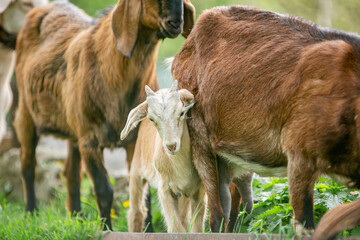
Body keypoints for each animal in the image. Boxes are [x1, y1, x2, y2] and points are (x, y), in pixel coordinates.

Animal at [14, 0, 194, 229]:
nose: (175, 22)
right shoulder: (90, 140)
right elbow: (103, 190)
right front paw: (105, 228)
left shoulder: (133, 140)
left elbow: (143, 191)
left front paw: (147, 229)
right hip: (26, 112)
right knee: (28, 164)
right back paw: (31, 212)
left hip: (74, 131)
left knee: (71, 173)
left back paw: (77, 217)